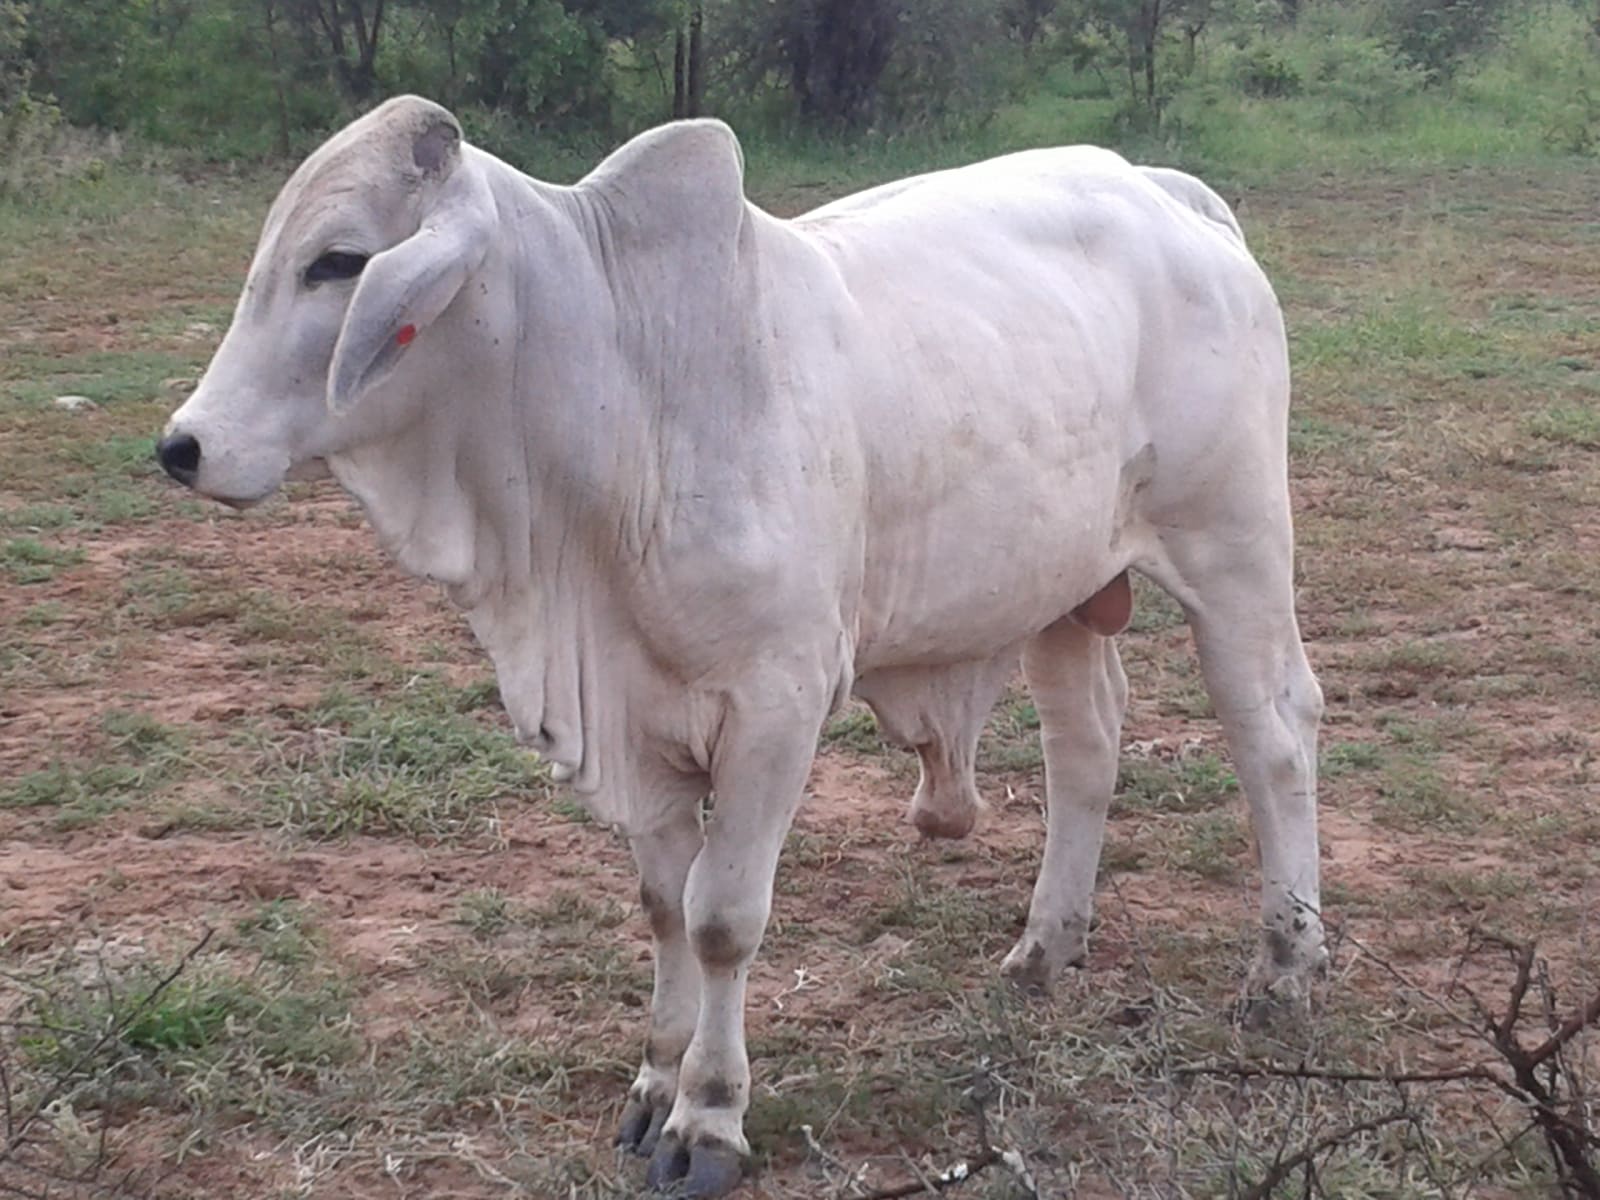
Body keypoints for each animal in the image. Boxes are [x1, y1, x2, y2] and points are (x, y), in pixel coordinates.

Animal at [157, 95, 1327, 1197]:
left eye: (339, 262)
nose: (183, 446)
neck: (618, 396)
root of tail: (1168, 191)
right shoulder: (635, 725)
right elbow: (662, 907)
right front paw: (652, 1085)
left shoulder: (777, 707)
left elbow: (720, 917)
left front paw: (708, 1119)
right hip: (1058, 592)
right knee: (1085, 749)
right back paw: (1046, 947)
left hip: (1234, 547)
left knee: (1274, 733)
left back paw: (1286, 964)